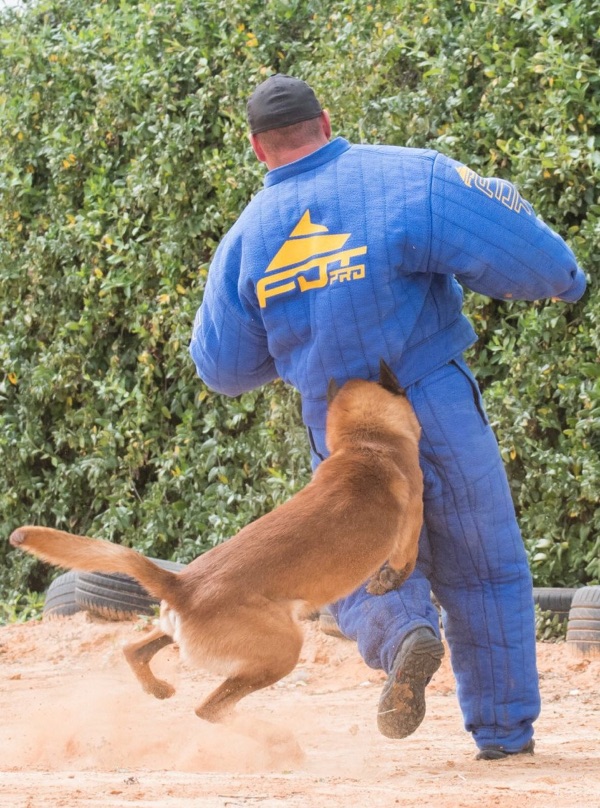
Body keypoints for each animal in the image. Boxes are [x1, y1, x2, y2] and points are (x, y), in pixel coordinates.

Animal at [8, 362, 422, 724]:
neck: (365, 442)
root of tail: (181, 585)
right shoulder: (411, 523)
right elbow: (404, 562)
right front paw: (386, 581)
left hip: (177, 630)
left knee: (133, 651)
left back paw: (157, 688)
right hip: (282, 648)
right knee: (207, 708)